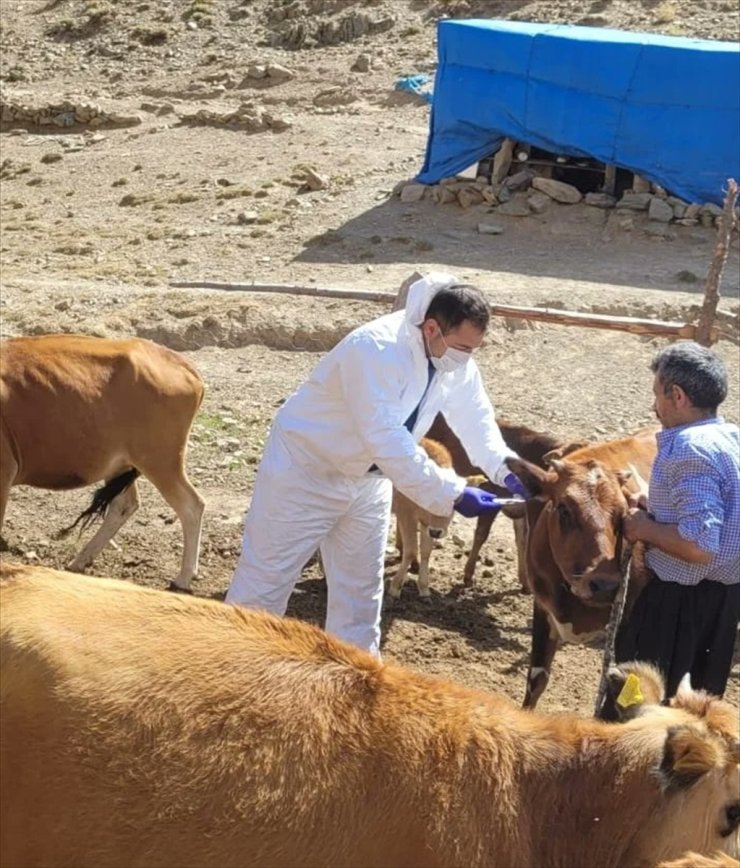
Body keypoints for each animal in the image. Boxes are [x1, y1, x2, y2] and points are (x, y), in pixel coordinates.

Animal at [0, 332, 205, 588]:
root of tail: (183, 364)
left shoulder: (4, 472)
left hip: (161, 460)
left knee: (192, 505)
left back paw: (184, 577)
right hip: (121, 463)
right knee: (125, 505)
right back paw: (81, 560)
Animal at [424, 410, 588, 588]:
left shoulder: (521, 509)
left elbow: (522, 540)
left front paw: (525, 581)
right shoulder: (491, 497)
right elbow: (481, 534)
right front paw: (468, 575)